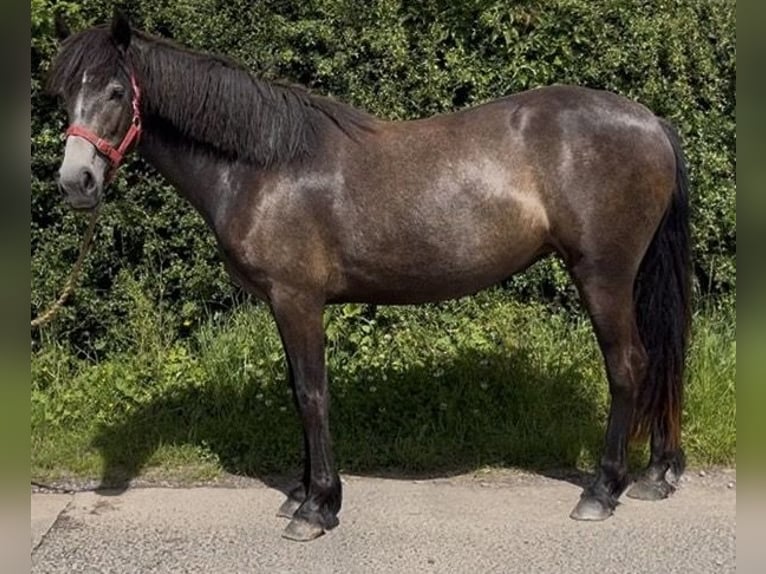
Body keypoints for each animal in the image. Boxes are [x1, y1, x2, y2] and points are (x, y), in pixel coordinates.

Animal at [47, 12, 691, 541]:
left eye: (113, 91)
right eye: (65, 96)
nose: (76, 182)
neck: (264, 166)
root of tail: (652, 121)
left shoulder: (297, 299)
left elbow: (312, 394)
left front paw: (318, 508)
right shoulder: (287, 304)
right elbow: (297, 390)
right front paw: (302, 493)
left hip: (603, 275)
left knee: (628, 365)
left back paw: (603, 491)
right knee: (659, 359)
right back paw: (657, 475)